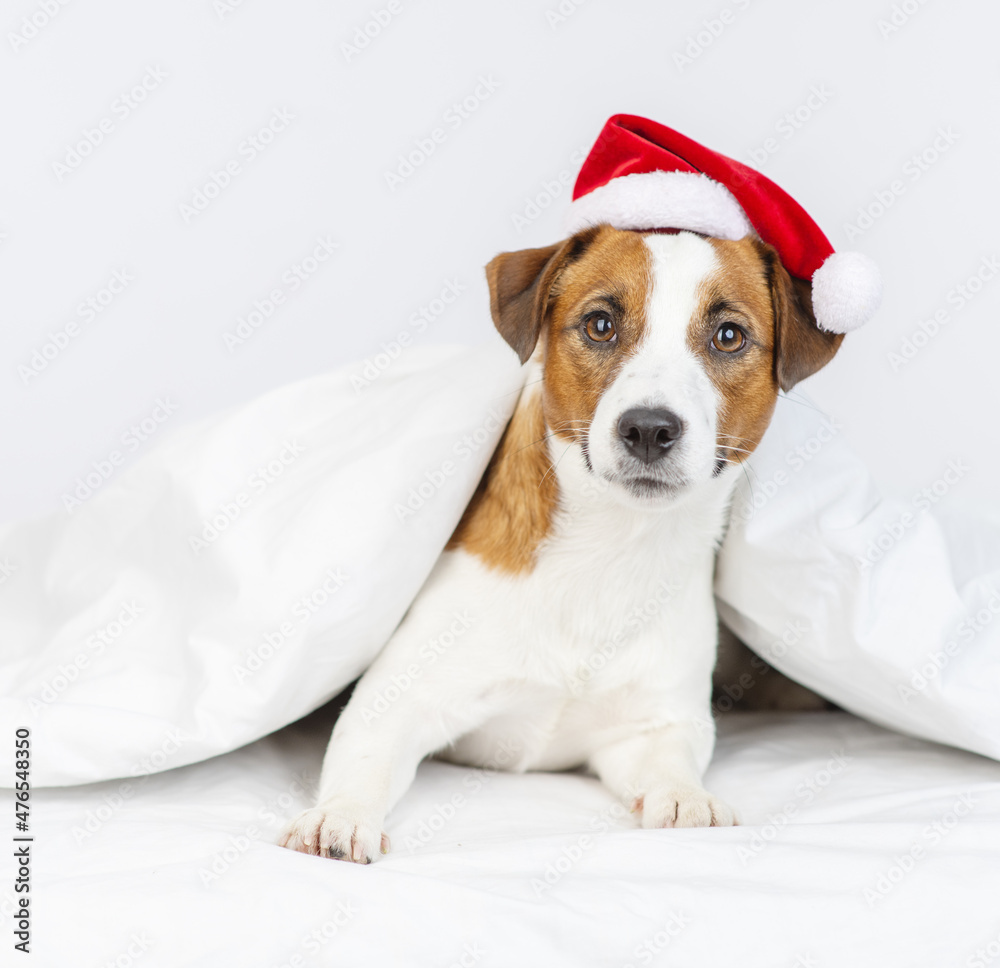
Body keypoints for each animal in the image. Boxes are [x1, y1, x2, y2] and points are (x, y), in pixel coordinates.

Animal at [278, 225, 840, 864]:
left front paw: (685, 796)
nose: (649, 429)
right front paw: (339, 817)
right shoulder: (391, 705)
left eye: (729, 336)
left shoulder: (652, 725)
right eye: (600, 324)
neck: (609, 551)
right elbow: (365, 762)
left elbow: (671, 761)